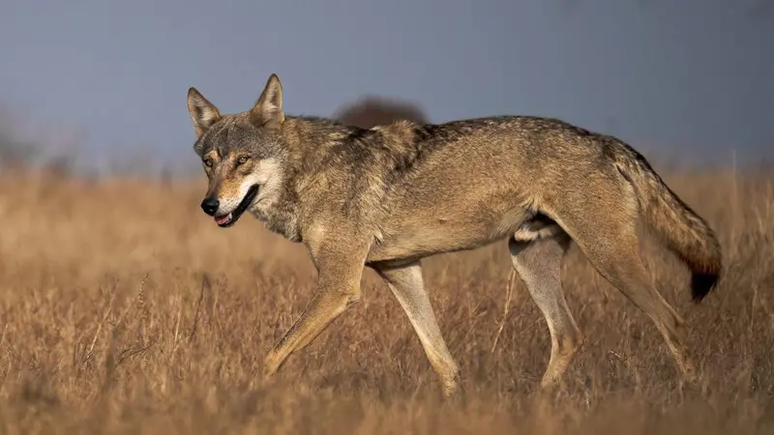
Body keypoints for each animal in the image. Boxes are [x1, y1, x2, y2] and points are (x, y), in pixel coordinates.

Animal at [185, 74, 724, 396]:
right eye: (209, 163)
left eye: (243, 161)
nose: (209, 206)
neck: (309, 173)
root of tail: (604, 140)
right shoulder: (400, 271)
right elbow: (441, 357)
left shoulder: (339, 285)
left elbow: (273, 352)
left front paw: (246, 396)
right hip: (528, 261)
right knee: (569, 335)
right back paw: (538, 406)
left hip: (609, 260)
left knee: (672, 320)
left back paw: (691, 398)